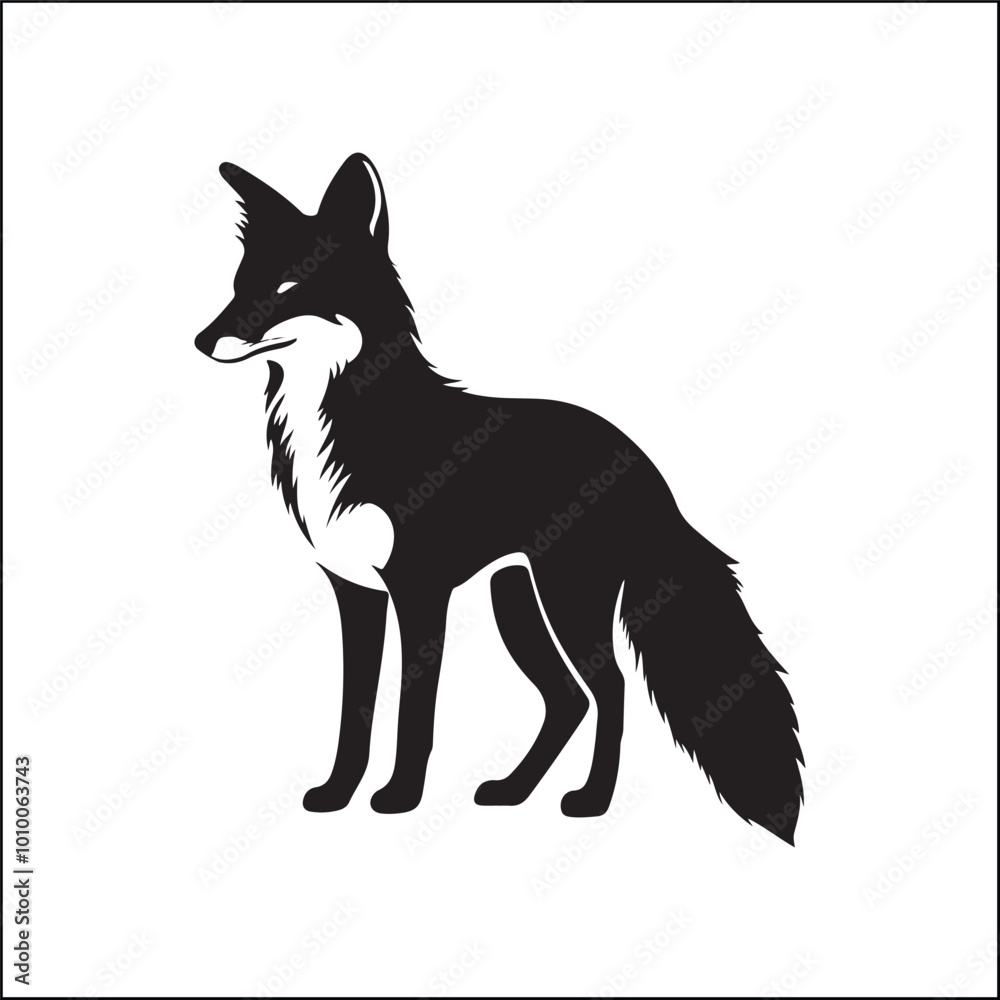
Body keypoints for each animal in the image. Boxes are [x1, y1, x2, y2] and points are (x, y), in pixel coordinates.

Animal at [193, 153, 803, 843]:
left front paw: (399, 797)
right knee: (567, 699)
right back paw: (513, 791)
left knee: (610, 691)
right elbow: (356, 711)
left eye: (289, 287)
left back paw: (591, 800)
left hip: (567, 598)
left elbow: (414, 713)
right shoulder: (356, 592)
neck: (360, 425)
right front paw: (337, 793)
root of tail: (645, 466)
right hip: (516, 600)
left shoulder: (419, 590)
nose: (201, 341)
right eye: (240, 284)